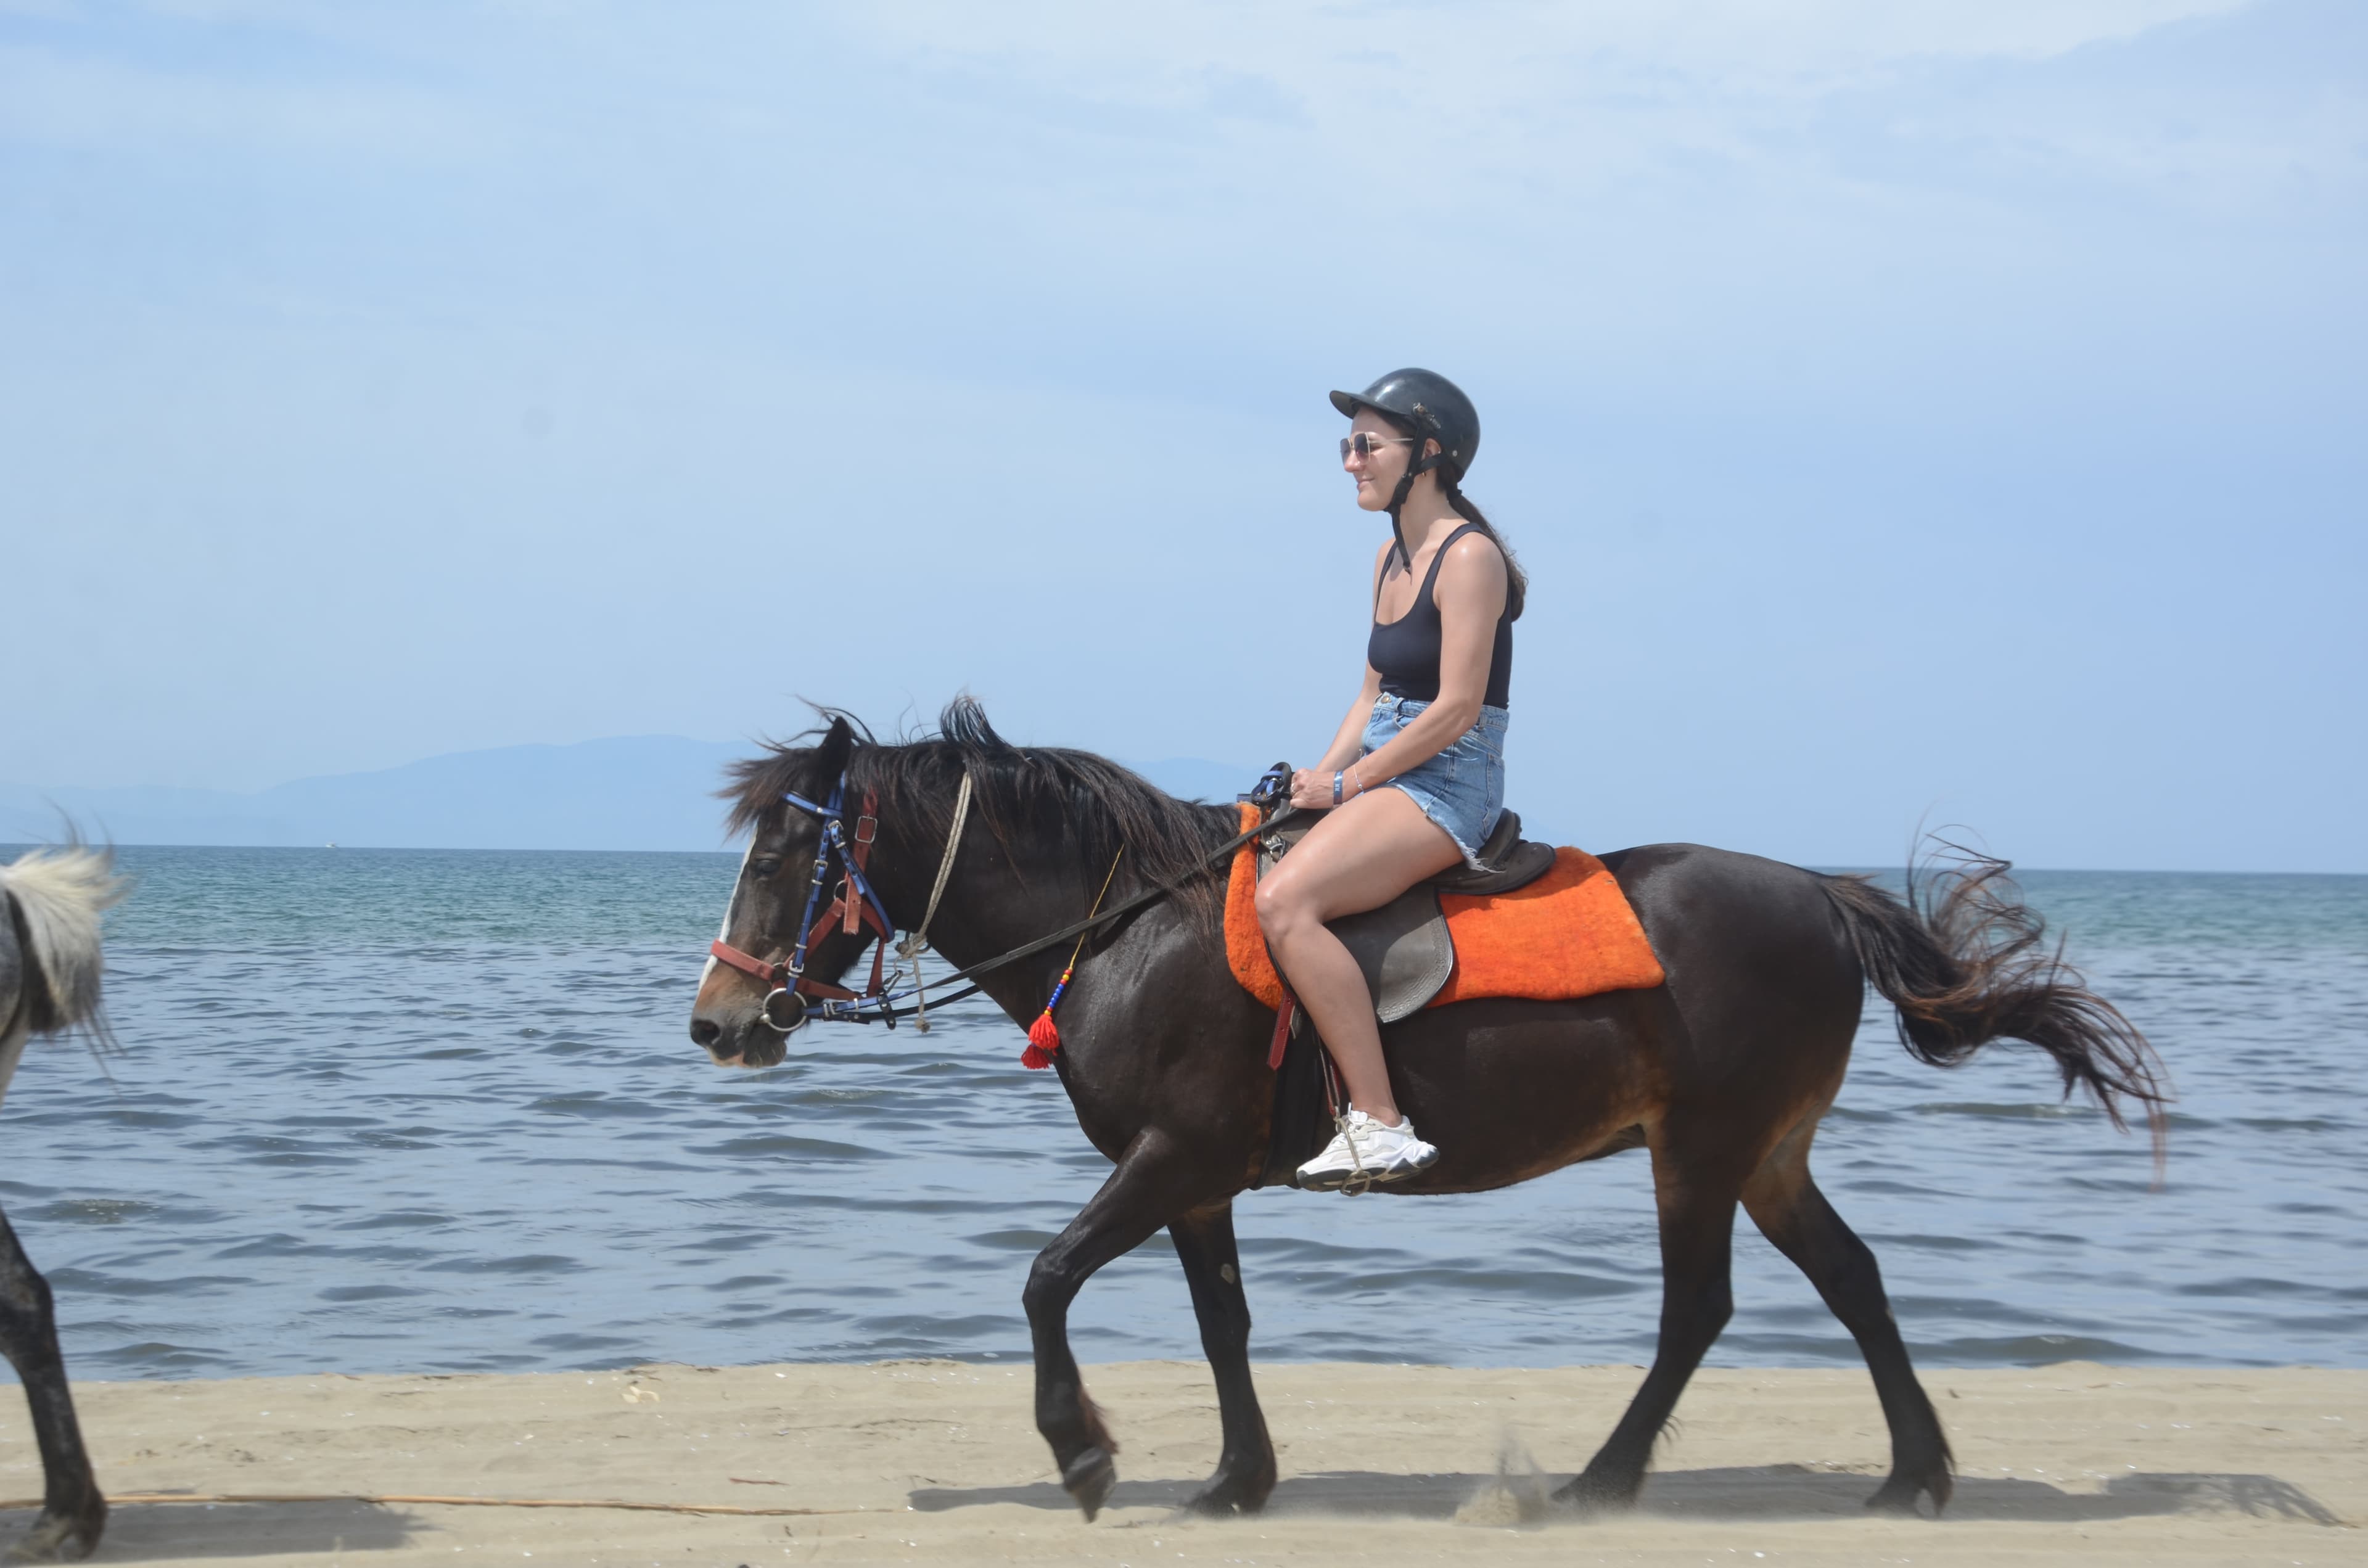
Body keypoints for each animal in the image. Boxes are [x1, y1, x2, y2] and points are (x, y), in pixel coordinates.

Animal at [688, 700, 2166, 1523]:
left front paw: (1088, 1452)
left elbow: (1047, 1277)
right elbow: (1222, 1324)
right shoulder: (1199, 1179)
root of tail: (1815, 888)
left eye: (785, 853)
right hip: (1769, 1151)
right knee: (1852, 1276)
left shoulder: (1171, 1156)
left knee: (1699, 1307)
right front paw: (1238, 1478)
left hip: (1704, 1147)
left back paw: (1601, 1480)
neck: (1128, 926)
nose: (718, 1018)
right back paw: (1913, 1470)